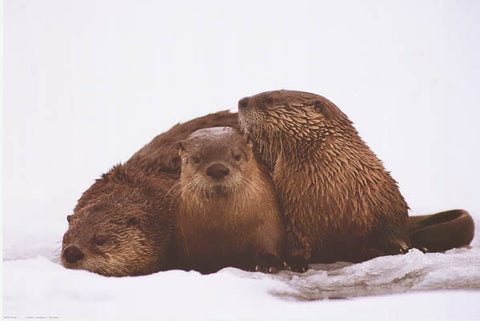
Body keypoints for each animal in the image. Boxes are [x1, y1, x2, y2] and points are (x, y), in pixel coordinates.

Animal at [172, 126, 284, 272]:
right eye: (196, 158)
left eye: (237, 156)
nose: (217, 169)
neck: (225, 231)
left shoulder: (269, 223)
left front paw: (267, 263)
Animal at [238, 89, 410, 270]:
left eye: (270, 100)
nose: (241, 102)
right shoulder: (293, 219)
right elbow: (296, 245)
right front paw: (297, 263)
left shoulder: (385, 205)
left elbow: (390, 230)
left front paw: (398, 248)